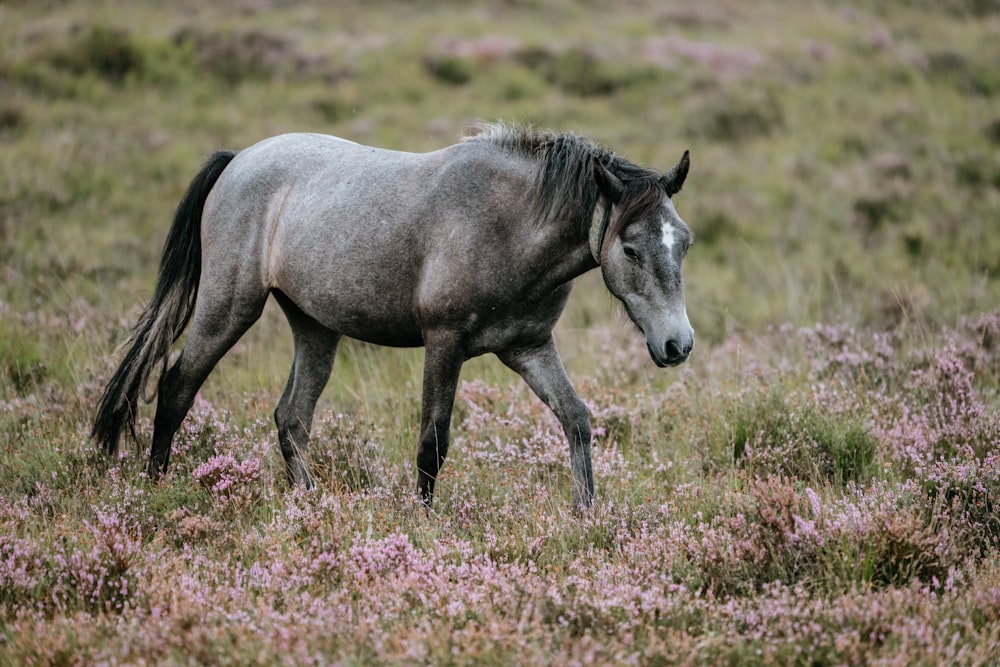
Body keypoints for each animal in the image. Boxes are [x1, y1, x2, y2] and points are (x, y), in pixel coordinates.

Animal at [94, 122, 692, 508]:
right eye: (631, 249)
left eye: (683, 241)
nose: (677, 345)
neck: (509, 224)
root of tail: (238, 159)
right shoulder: (445, 343)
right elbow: (433, 442)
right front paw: (422, 523)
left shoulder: (528, 347)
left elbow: (577, 420)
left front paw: (588, 517)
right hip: (228, 307)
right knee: (177, 388)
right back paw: (155, 490)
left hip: (314, 327)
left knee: (292, 418)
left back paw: (309, 506)